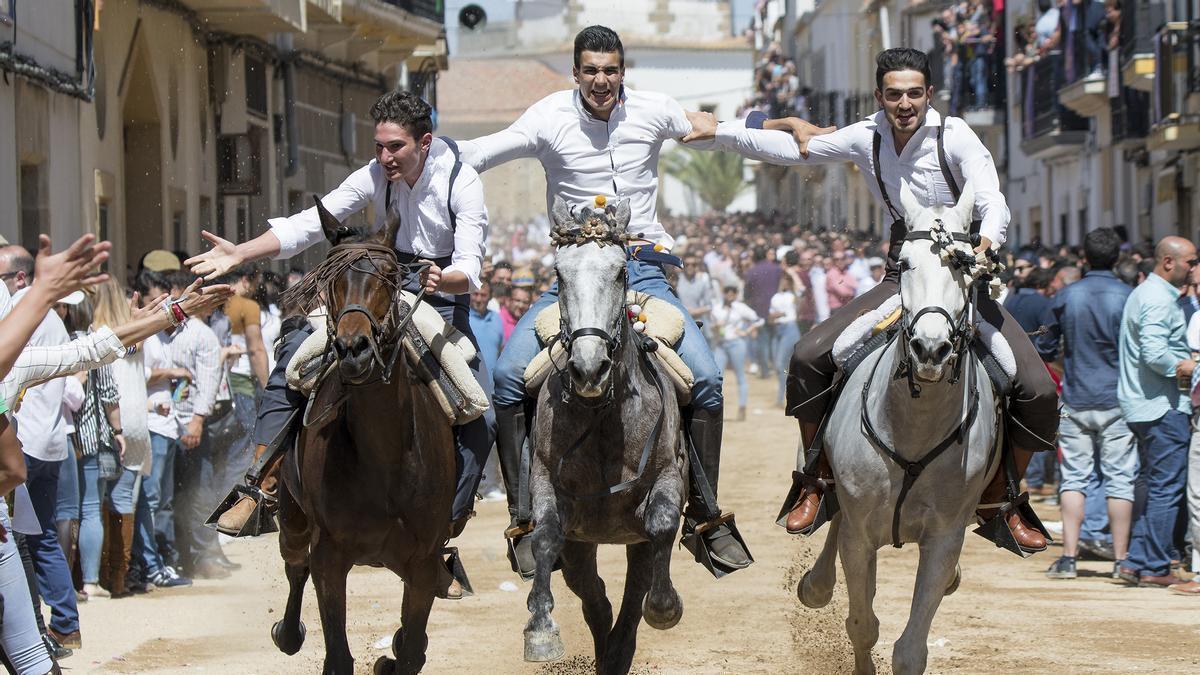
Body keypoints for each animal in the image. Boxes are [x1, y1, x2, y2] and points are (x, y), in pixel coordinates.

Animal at [270, 198, 456, 672]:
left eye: (389, 277)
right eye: (329, 281)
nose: (353, 349)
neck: (386, 459)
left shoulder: (423, 560)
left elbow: (412, 648)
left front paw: (395, 654)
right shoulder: (330, 557)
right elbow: (338, 653)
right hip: (292, 516)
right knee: (294, 563)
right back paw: (288, 632)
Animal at [523, 196, 686, 672]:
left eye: (619, 273)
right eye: (559, 275)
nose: (588, 368)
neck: (602, 416)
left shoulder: (667, 477)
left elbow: (662, 523)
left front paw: (665, 607)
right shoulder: (546, 480)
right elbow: (545, 535)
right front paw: (540, 631)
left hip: (633, 542)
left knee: (631, 597)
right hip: (581, 546)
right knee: (596, 600)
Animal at [796, 181, 1003, 667]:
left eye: (966, 269)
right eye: (904, 264)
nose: (931, 349)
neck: (914, 425)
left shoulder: (943, 539)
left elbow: (911, 649)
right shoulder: (860, 535)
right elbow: (862, 625)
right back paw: (815, 583)